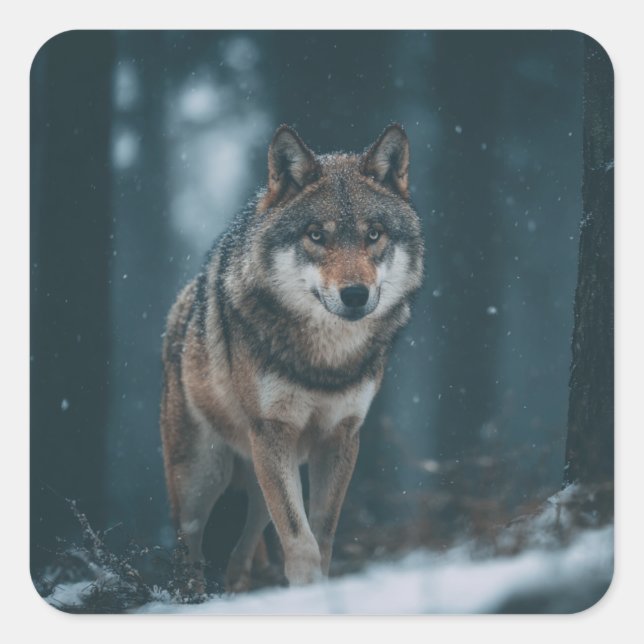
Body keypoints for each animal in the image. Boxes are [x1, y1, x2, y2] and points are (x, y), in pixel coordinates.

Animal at [161, 123, 424, 591]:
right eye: (316, 235)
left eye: (374, 234)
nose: (354, 295)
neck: (326, 361)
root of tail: (179, 309)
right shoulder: (273, 431)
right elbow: (300, 540)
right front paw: (308, 590)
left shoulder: (341, 437)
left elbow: (322, 534)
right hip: (204, 478)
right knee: (188, 550)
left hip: (256, 476)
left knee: (243, 550)